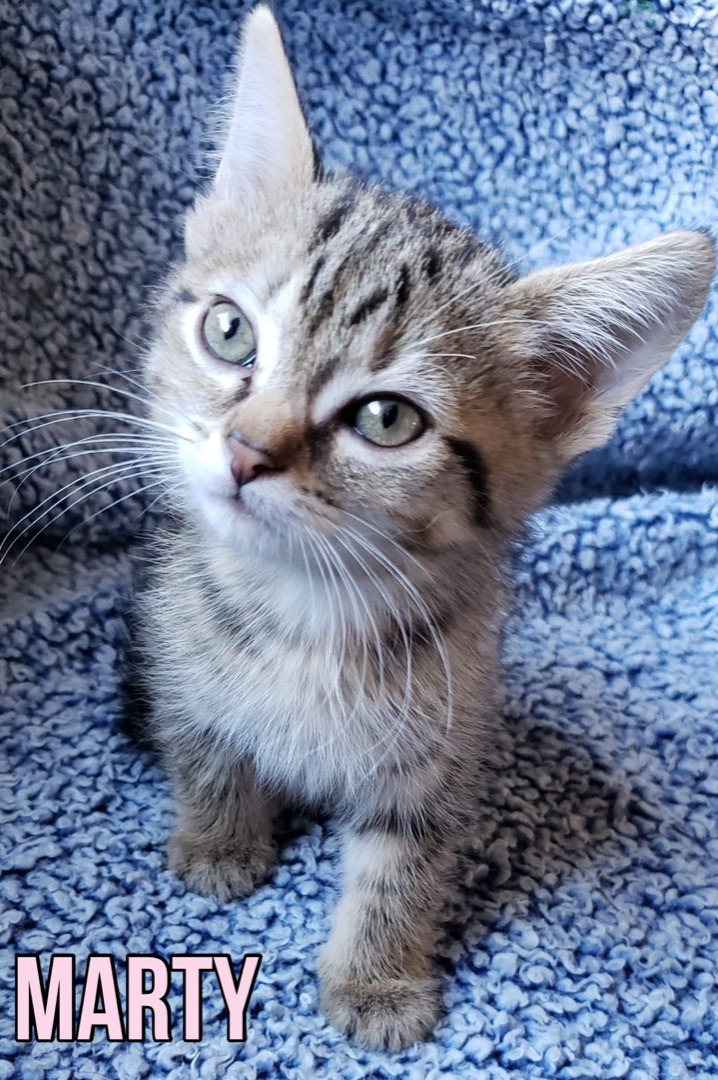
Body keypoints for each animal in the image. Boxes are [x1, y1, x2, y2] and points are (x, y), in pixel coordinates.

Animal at [131, 0, 712, 1045]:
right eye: (229, 332)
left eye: (385, 419)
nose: (244, 450)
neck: (304, 608)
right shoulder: (175, 636)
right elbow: (203, 737)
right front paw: (219, 837)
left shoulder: (446, 733)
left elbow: (403, 859)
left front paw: (376, 979)